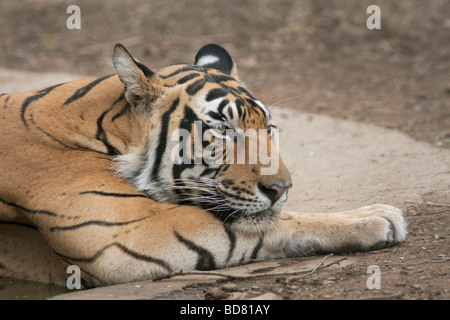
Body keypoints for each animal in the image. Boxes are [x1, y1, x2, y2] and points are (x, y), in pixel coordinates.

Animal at [0, 43, 408, 288]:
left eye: (268, 128)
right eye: (224, 130)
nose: (281, 189)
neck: (108, 130)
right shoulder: (128, 233)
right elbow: (273, 223)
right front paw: (375, 218)